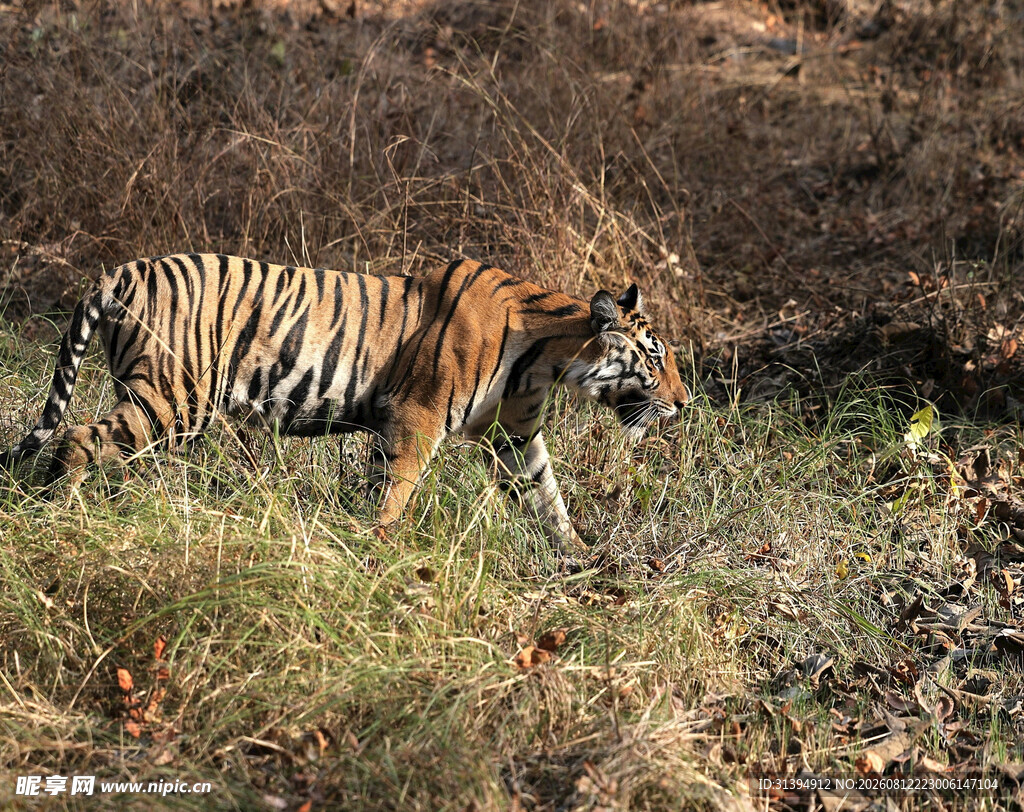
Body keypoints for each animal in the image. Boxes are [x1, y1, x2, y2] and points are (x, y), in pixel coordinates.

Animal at [0, 254, 689, 555]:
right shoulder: (416, 415)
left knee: (104, 444)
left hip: (154, 398)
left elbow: (549, 496)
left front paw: (579, 558)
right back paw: (62, 514)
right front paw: (378, 548)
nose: (685, 404)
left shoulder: (513, 435)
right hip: (176, 397)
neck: (546, 360)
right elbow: (398, 488)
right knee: (78, 438)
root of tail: (122, 270)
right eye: (655, 358)